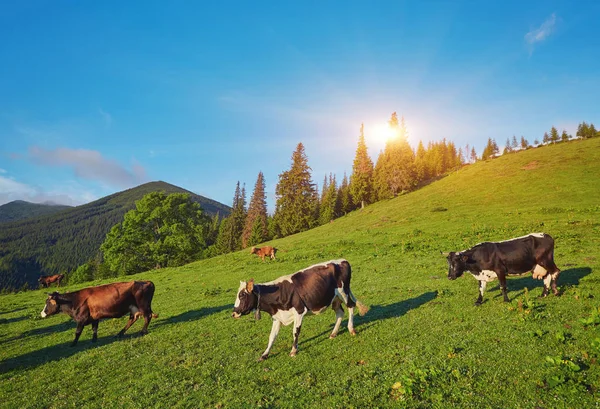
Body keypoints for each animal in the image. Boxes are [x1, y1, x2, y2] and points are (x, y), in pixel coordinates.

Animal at [232, 258, 368, 360]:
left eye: (242, 295)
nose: (234, 313)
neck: (279, 293)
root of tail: (342, 260)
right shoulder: (277, 317)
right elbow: (272, 336)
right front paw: (264, 354)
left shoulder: (299, 311)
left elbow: (295, 332)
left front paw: (293, 351)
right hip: (334, 298)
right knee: (340, 313)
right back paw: (333, 333)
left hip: (343, 292)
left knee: (351, 306)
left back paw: (351, 329)